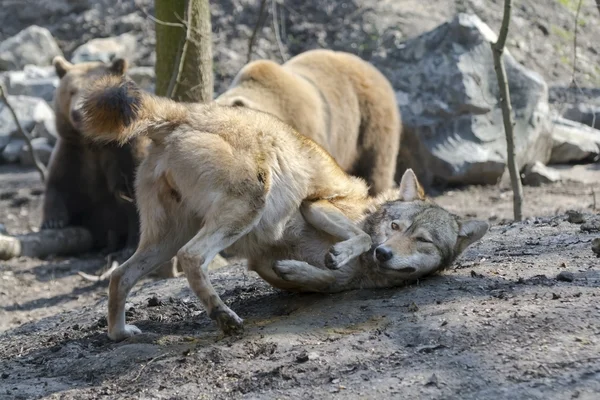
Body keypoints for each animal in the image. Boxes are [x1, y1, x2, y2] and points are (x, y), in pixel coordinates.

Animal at [42, 56, 149, 252]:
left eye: (95, 90)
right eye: (71, 91)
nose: (77, 113)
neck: (94, 141)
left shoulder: (126, 152)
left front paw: (132, 245)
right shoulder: (73, 151)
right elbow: (57, 182)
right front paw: (53, 222)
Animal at [82, 76, 490, 342]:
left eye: (422, 240)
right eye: (395, 227)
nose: (385, 253)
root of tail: (187, 112)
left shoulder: (274, 265)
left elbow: (326, 282)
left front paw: (305, 269)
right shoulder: (315, 205)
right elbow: (357, 239)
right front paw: (338, 253)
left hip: (164, 240)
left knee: (120, 275)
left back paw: (120, 334)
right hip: (245, 209)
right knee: (191, 258)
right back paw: (223, 316)